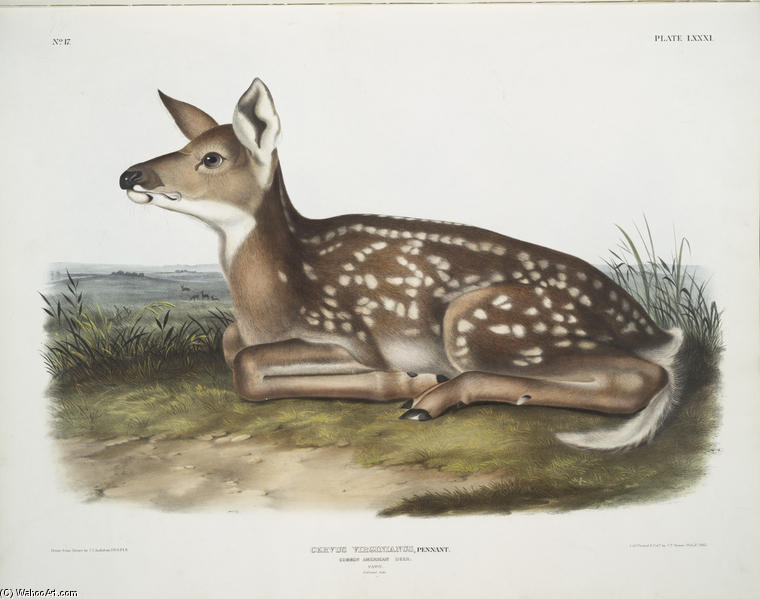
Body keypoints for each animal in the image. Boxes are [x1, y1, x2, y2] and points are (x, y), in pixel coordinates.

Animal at [119, 78, 684, 450]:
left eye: (211, 157)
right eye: (185, 144)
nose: (130, 175)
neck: (270, 302)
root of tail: (654, 328)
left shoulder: (351, 334)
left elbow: (247, 366)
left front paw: (402, 381)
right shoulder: (251, 331)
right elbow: (230, 343)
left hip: (482, 322)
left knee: (645, 377)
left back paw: (428, 396)